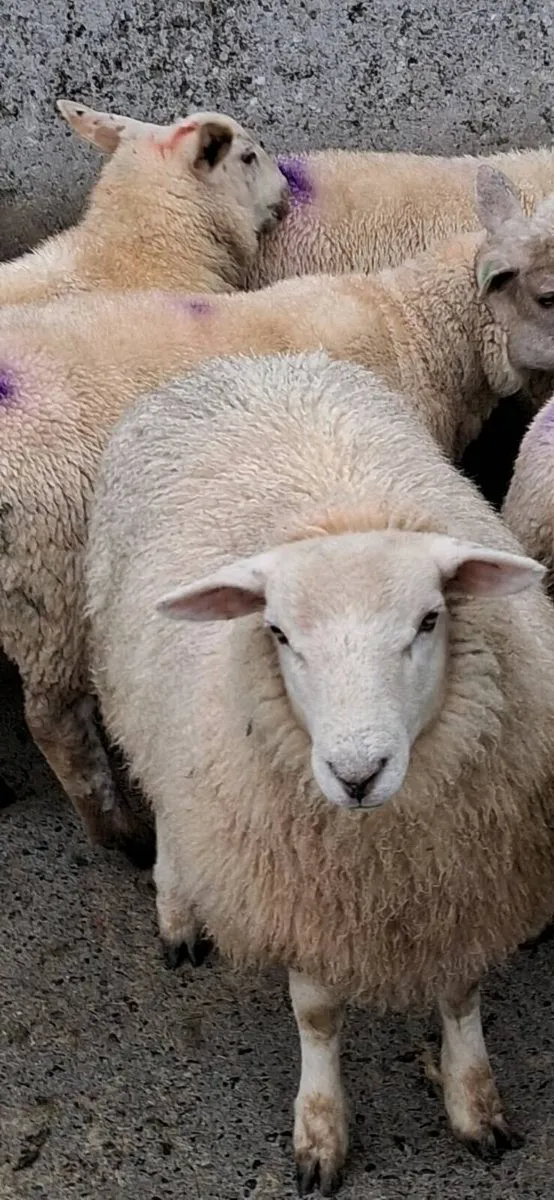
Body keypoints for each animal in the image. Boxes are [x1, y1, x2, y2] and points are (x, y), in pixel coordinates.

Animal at [85, 349, 554, 1193]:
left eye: (429, 620)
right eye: (277, 632)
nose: (357, 771)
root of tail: (250, 360)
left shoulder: (465, 876)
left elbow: (460, 991)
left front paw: (474, 1105)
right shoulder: (302, 894)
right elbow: (318, 1015)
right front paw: (320, 1130)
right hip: (145, 701)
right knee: (167, 804)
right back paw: (177, 912)